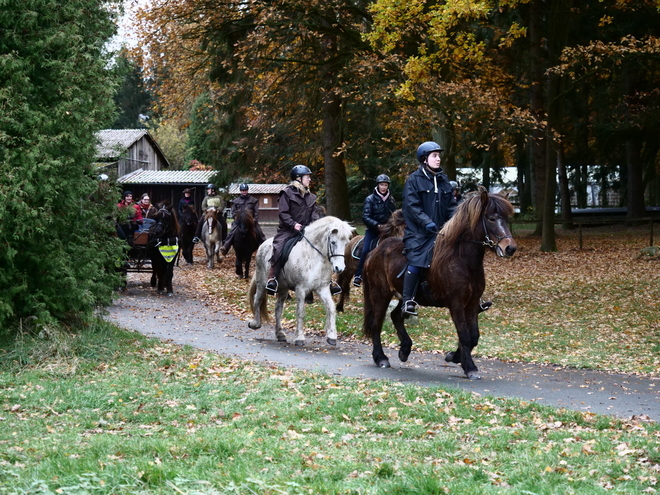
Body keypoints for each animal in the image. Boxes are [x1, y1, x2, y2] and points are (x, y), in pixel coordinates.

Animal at [248, 217, 354, 348]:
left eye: (346, 243)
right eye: (333, 242)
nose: (340, 268)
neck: (315, 256)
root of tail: (264, 244)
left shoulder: (322, 288)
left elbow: (331, 308)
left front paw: (332, 336)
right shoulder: (301, 289)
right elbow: (300, 312)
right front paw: (299, 338)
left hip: (283, 288)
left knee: (278, 308)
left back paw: (280, 334)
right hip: (262, 283)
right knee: (257, 299)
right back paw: (255, 324)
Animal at [364, 189, 520, 380]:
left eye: (505, 218)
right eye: (491, 218)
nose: (510, 248)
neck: (462, 260)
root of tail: (374, 252)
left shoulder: (472, 305)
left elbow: (474, 336)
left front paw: (454, 357)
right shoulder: (456, 305)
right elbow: (465, 336)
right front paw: (469, 367)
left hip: (405, 296)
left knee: (396, 316)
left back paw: (405, 350)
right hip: (380, 294)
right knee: (376, 324)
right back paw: (381, 358)